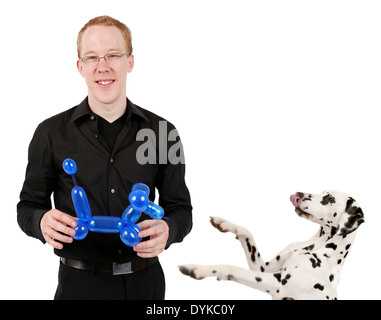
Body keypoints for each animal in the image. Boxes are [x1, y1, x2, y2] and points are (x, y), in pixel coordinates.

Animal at [180, 190, 364, 300]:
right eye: (324, 192)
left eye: (330, 199)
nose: (299, 193)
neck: (318, 246)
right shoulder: (264, 269)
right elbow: (247, 232)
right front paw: (223, 223)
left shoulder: (277, 284)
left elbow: (232, 268)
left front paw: (197, 269)